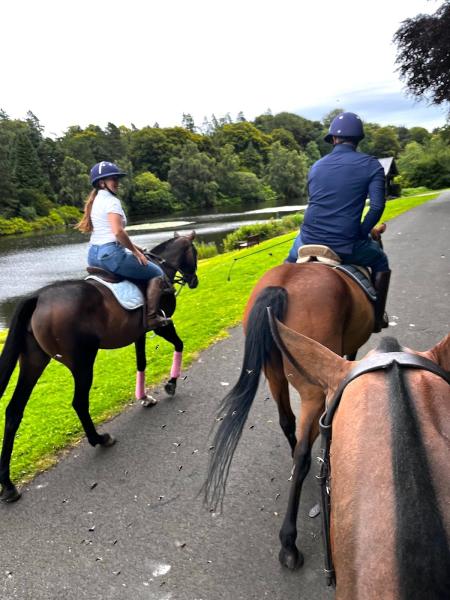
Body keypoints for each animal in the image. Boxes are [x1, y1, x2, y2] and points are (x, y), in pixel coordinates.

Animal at [0, 232, 197, 504]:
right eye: (195, 253)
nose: (194, 281)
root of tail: (38, 296)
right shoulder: (161, 326)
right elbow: (179, 344)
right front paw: (171, 384)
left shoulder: (139, 333)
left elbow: (141, 362)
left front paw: (144, 397)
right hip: (82, 361)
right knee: (79, 402)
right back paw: (100, 439)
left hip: (33, 360)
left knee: (14, 412)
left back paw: (8, 486)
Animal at [204, 262, 376, 568]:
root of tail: (282, 284)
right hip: (311, 387)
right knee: (304, 450)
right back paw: (289, 543)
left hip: (273, 373)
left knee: (288, 423)